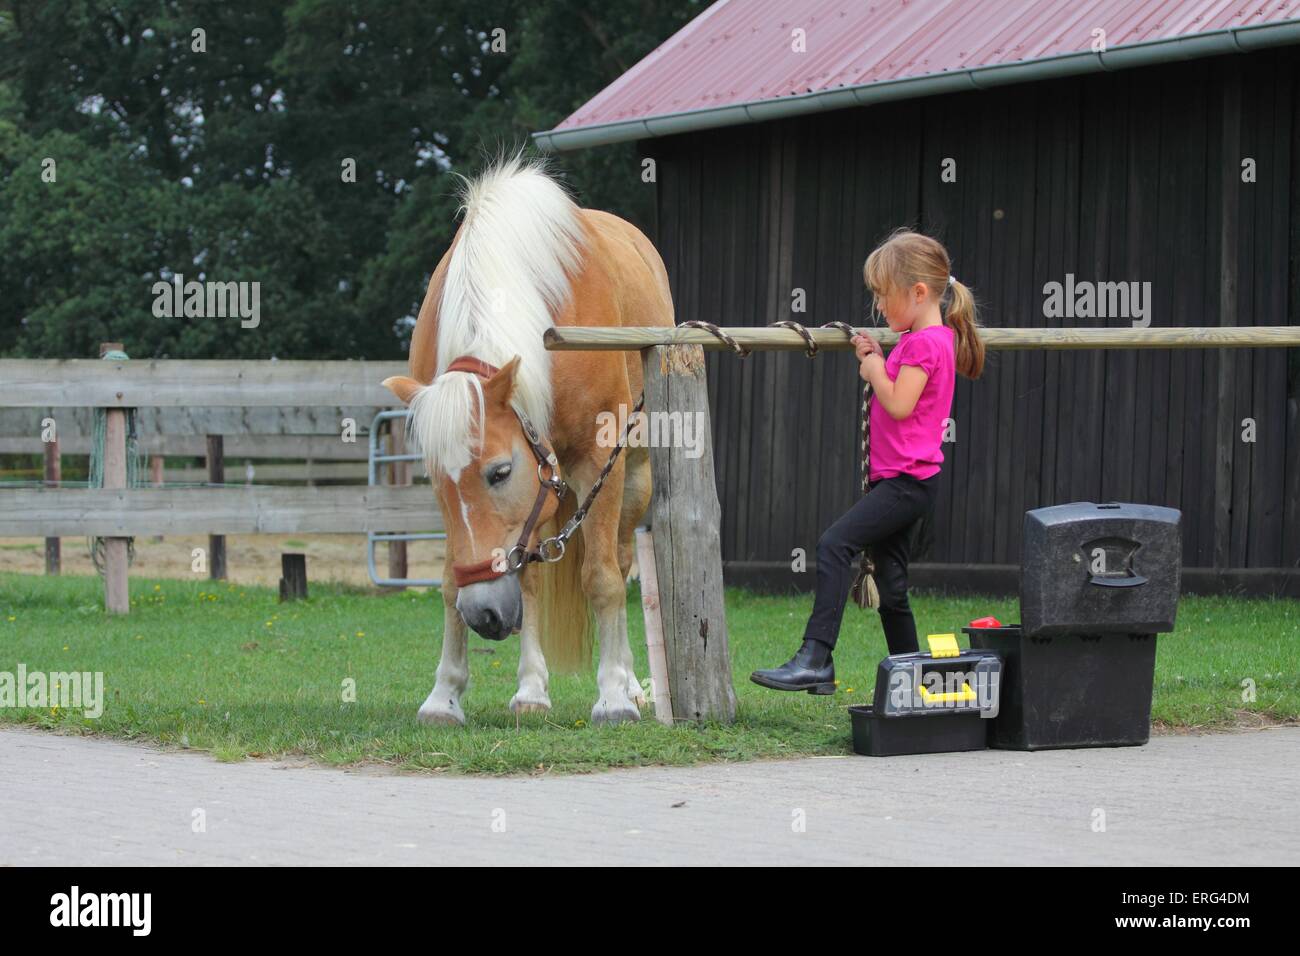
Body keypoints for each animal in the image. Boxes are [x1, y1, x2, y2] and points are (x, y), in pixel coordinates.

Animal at [379, 157, 670, 723]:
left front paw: (613, 697)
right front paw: (445, 695)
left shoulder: (598, 462)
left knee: (621, 562)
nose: (485, 615)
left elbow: (601, 577)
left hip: (634, 478)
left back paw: (631, 685)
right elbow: (453, 581)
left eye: (499, 472)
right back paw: (533, 688)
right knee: (531, 579)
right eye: (436, 485)